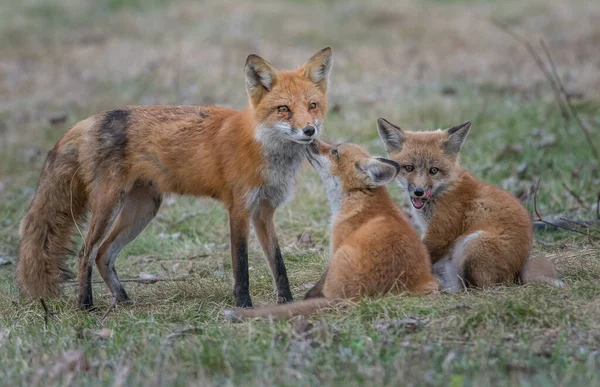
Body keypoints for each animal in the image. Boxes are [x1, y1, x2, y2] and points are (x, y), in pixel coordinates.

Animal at [15, 47, 332, 310]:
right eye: (284, 109)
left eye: (312, 105)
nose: (309, 131)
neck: (263, 147)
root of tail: (90, 120)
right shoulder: (240, 209)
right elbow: (241, 265)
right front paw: (244, 306)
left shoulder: (264, 211)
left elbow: (278, 264)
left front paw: (287, 303)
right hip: (109, 205)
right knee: (85, 253)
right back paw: (85, 305)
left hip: (143, 210)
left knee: (104, 254)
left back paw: (123, 300)